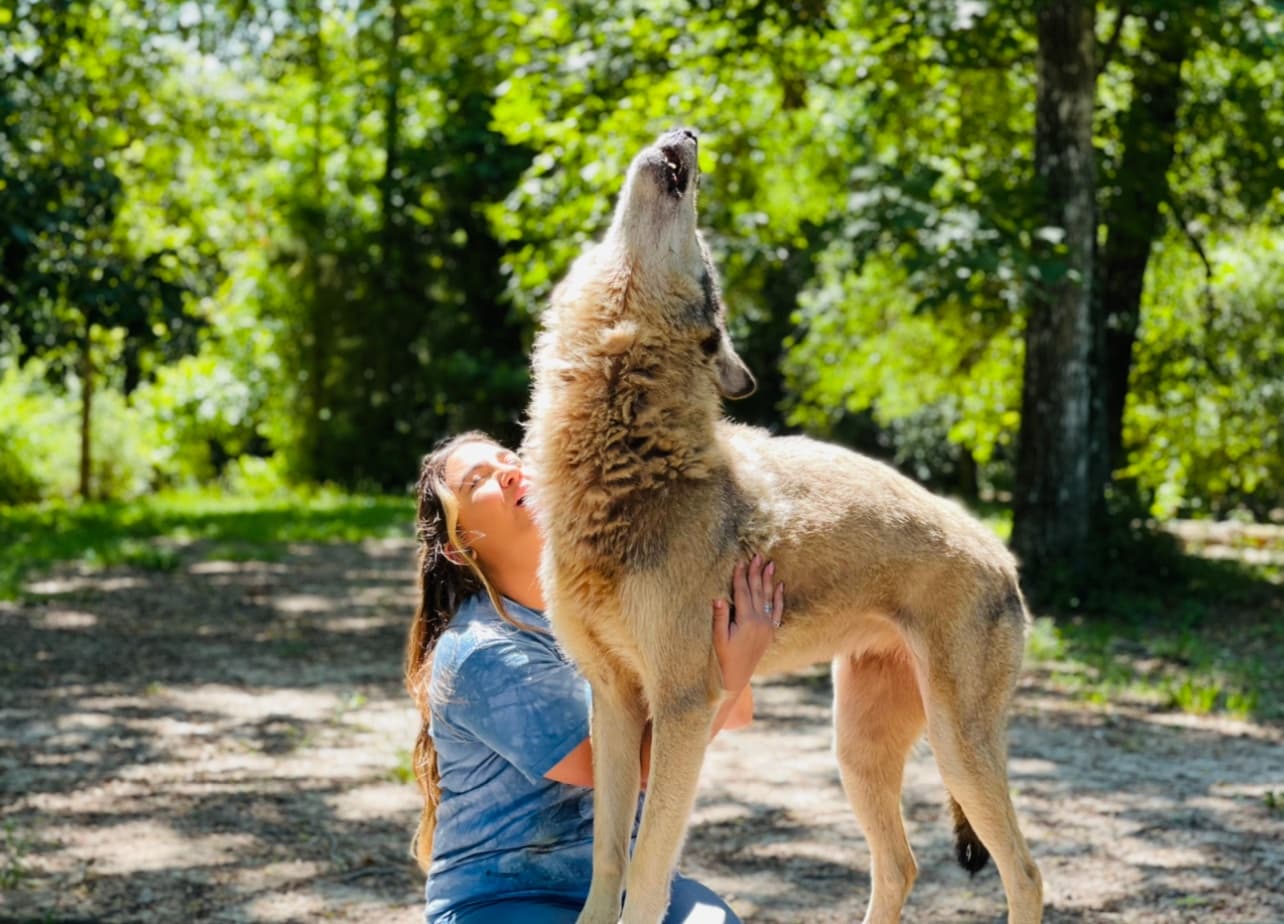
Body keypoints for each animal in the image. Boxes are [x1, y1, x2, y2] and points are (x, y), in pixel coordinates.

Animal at [523, 128, 1043, 924]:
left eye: (705, 264)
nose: (689, 134)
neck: (633, 462)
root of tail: (1002, 556)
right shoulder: (610, 701)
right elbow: (606, 862)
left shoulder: (682, 708)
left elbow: (646, 870)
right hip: (857, 753)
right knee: (902, 866)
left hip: (956, 750)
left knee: (1023, 872)